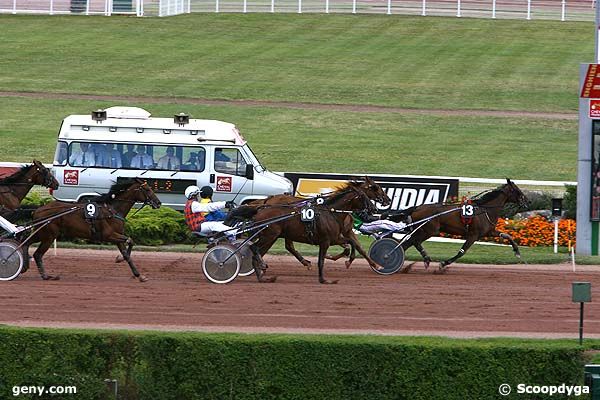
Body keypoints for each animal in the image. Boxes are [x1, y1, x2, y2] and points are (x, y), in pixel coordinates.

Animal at [23, 178, 161, 282]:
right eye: (147, 189)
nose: (158, 203)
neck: (112, 210)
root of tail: (37, 210)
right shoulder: (109, 235)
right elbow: (130, 241)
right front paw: (121, 260)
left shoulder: (117, 236)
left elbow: (127, 253)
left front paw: (138, 274)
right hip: (49, 236)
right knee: (37, 254)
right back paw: (45, 275)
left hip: (41, 233)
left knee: (26, 244)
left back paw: (24, 267)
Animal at [392, 180, 528, 274]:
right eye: (517, 190)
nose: (527, 201)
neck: (484, 210)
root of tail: (417, 207)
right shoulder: (473, 235)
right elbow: (462, 252)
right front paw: (443, 264)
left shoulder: (489, 232)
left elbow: (507, 235)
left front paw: (517, 251)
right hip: (429, 230)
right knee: (414, 242)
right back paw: (423, 259)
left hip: (423, 230)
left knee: (408, 243)